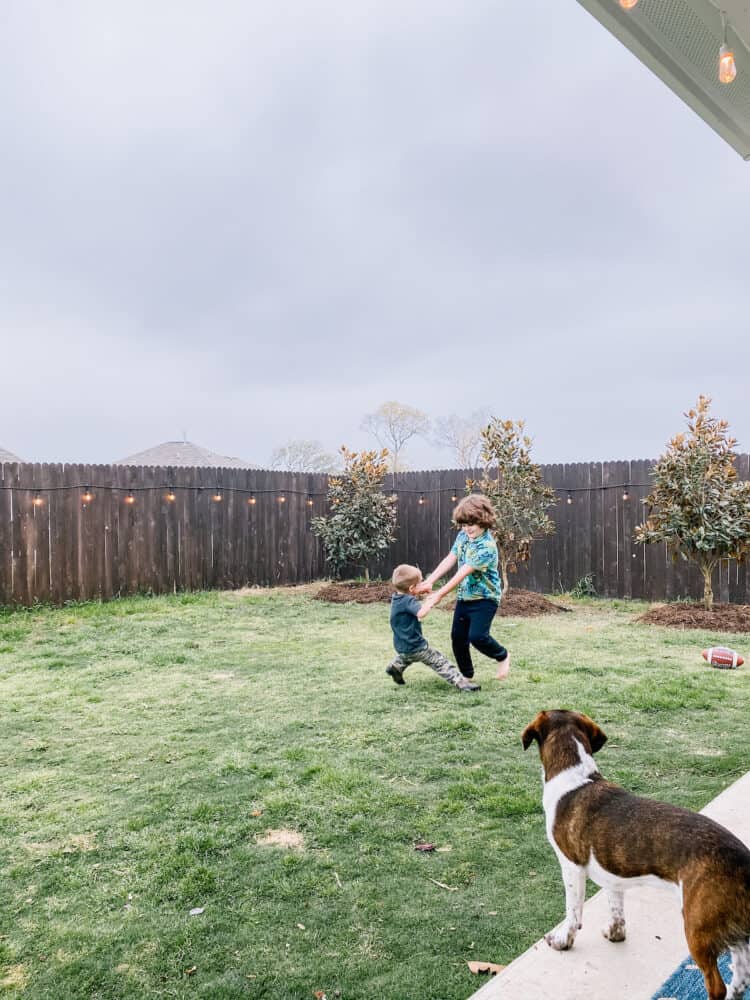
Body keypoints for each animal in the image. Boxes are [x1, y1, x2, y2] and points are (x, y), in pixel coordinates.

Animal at [524, 712, 750, 1000]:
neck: (576, 776)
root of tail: (743, 861)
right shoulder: (612, 875)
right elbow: (616, 907)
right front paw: (616, 932)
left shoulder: (571, 867)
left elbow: (573, 912)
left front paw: (564, 940)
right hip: (737, 935)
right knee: (741, 979)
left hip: (697, 931)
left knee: (716, 985)